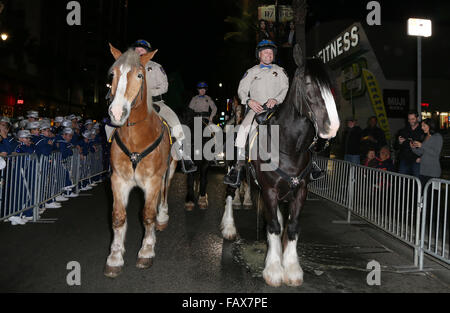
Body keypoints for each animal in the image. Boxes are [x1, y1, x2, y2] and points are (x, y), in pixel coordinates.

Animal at [104, 45, 177, 276]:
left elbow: (148, 215)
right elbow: (118, 216)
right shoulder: (118, 180)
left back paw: (163, 217)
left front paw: (146, 250)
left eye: (139, 75)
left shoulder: (152, 181)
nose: (117, 112)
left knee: (164, 192)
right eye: (113, 74)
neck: (136, 137)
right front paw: (115, 256)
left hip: (169, 170)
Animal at [220, 45, 340, 286]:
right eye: (307, 83)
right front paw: (274, 269)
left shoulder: (300, 190)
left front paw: (292, 269)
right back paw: (228, 227)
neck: (287, 145)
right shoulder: (269, 190)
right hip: (231, 170)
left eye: (331, 85)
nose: (331, 127)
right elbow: (274, 226)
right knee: (230, 192)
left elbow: (291, 227)